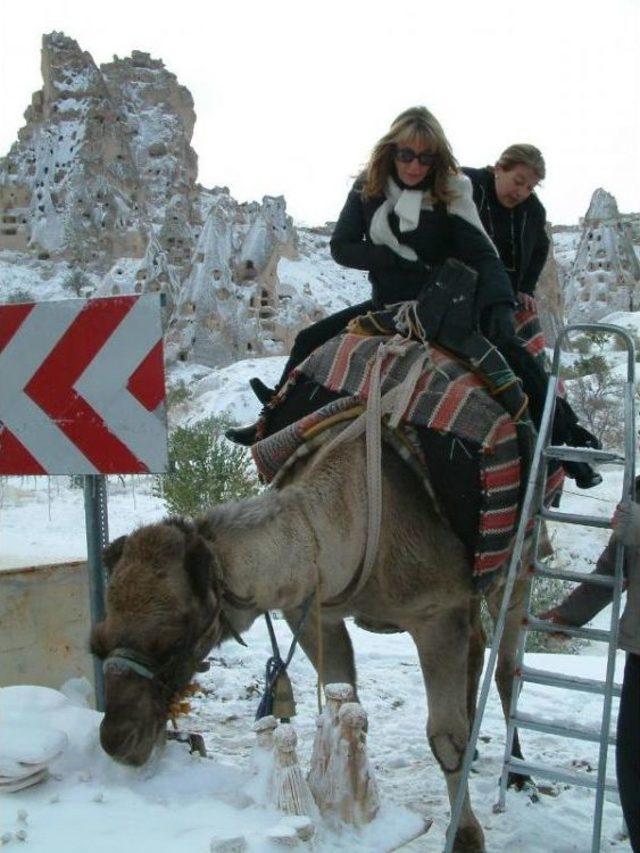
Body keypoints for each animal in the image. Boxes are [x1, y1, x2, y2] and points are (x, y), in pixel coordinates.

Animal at [90, 432, 528, 852]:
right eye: (98, 641)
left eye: (175, 638)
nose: (116, 739)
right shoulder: (318, 616)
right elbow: (348, 709)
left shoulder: (437, 611)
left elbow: (445, 738)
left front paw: (467, 837)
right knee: (478, 646)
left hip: (518, 565)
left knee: (508, 664)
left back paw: (519, 775)